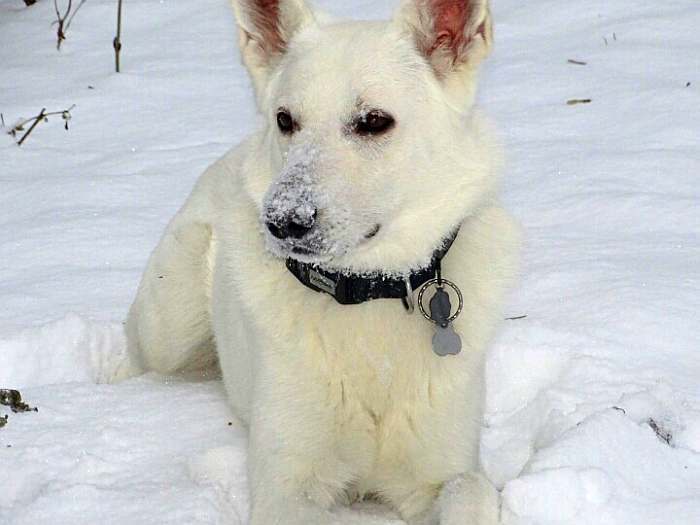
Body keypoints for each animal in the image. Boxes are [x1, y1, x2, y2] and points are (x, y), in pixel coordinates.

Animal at [124, 2, 520, 520]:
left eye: (373, 120)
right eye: (285, 119)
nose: (282, 220)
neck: (369, 291)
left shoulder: (442, 468)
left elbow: (469, 489)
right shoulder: (287, 485)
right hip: (171, 320)